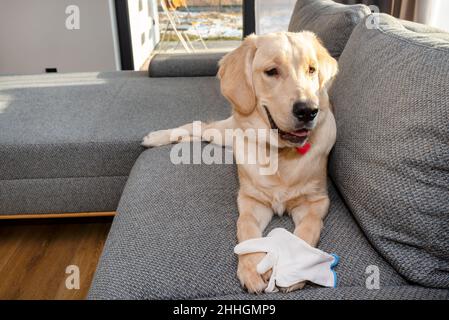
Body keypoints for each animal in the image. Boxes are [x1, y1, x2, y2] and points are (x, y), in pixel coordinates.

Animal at [143, 31, 336, 292]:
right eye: (272, 71)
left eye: (312, 70)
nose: (308, 110)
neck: (279, 154)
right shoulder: (251, 201)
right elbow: (245, 227)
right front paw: (252, 267)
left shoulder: (316, 202)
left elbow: (307, 230)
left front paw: (295, 269)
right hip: (224, 132)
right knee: (198, 126)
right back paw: (155, 137)